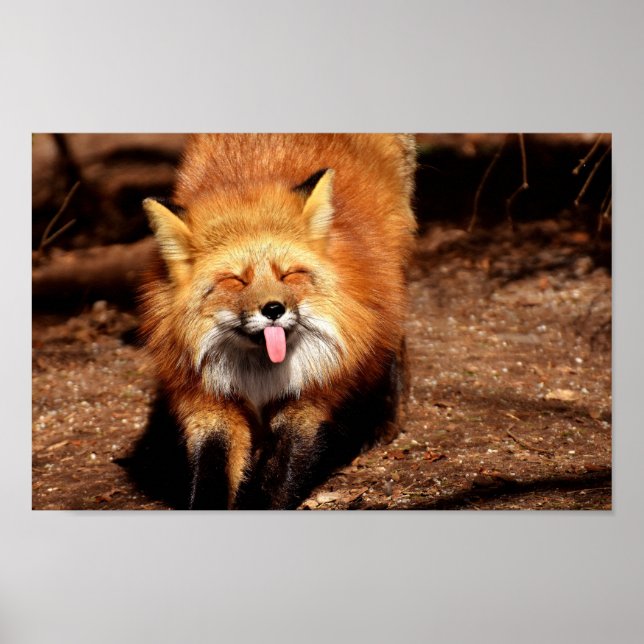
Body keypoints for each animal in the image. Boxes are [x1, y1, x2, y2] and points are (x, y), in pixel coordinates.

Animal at [139, 134, 417, 509]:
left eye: (288, 274)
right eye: (236, 280)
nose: (273, 309)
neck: (260, 374)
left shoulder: (309, 395)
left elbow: (280, 472)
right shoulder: (208, 400)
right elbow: (211, 468)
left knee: (395, 337)